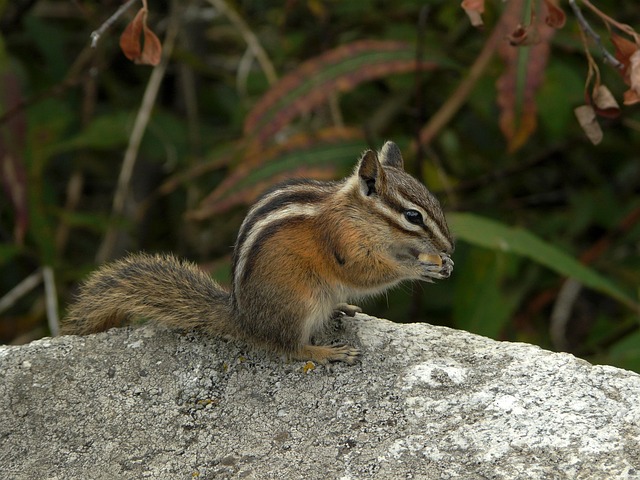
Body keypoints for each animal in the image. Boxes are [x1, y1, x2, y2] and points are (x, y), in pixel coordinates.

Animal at [61, 141, 454, 364]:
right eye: (413, 216)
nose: (449, 247)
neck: (356, 213)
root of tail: (243, 319)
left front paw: (442, 263)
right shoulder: (343, 242)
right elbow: (365, 272)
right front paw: (420, 268)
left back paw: (341, 308)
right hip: (299, 303)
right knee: (288, 348)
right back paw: (328, 352)